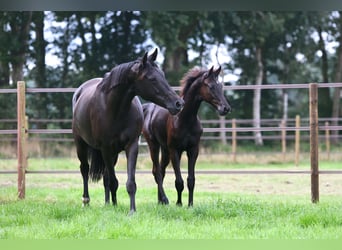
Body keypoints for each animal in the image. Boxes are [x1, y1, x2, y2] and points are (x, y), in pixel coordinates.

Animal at [72, 49, 184, 215]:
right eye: (151, 79)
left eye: (163, 75)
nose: (178, 104)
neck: (115, 109)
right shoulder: (105, 148)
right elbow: (113, 181)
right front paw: (118, 207)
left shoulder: (131, 146)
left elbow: (129, 182)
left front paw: (131, 210)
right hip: (81, 144)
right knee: (85, 169)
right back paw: (86, 201)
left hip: (113, 154)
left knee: (105, 176)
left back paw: (109, 203)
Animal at [142, 65, 230, 206]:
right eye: (211, 86)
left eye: (220, 86)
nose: (225, 108)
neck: (185, 119)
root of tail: (148, 109)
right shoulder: (175, 151)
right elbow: (179, 181)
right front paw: (179, 204)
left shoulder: (193, 150)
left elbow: (191, 180)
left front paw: (190, 205)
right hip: (154, 145)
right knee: (156, 171)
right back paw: (164, 200)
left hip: (165, 150)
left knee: (161, 170)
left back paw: (160, 201)